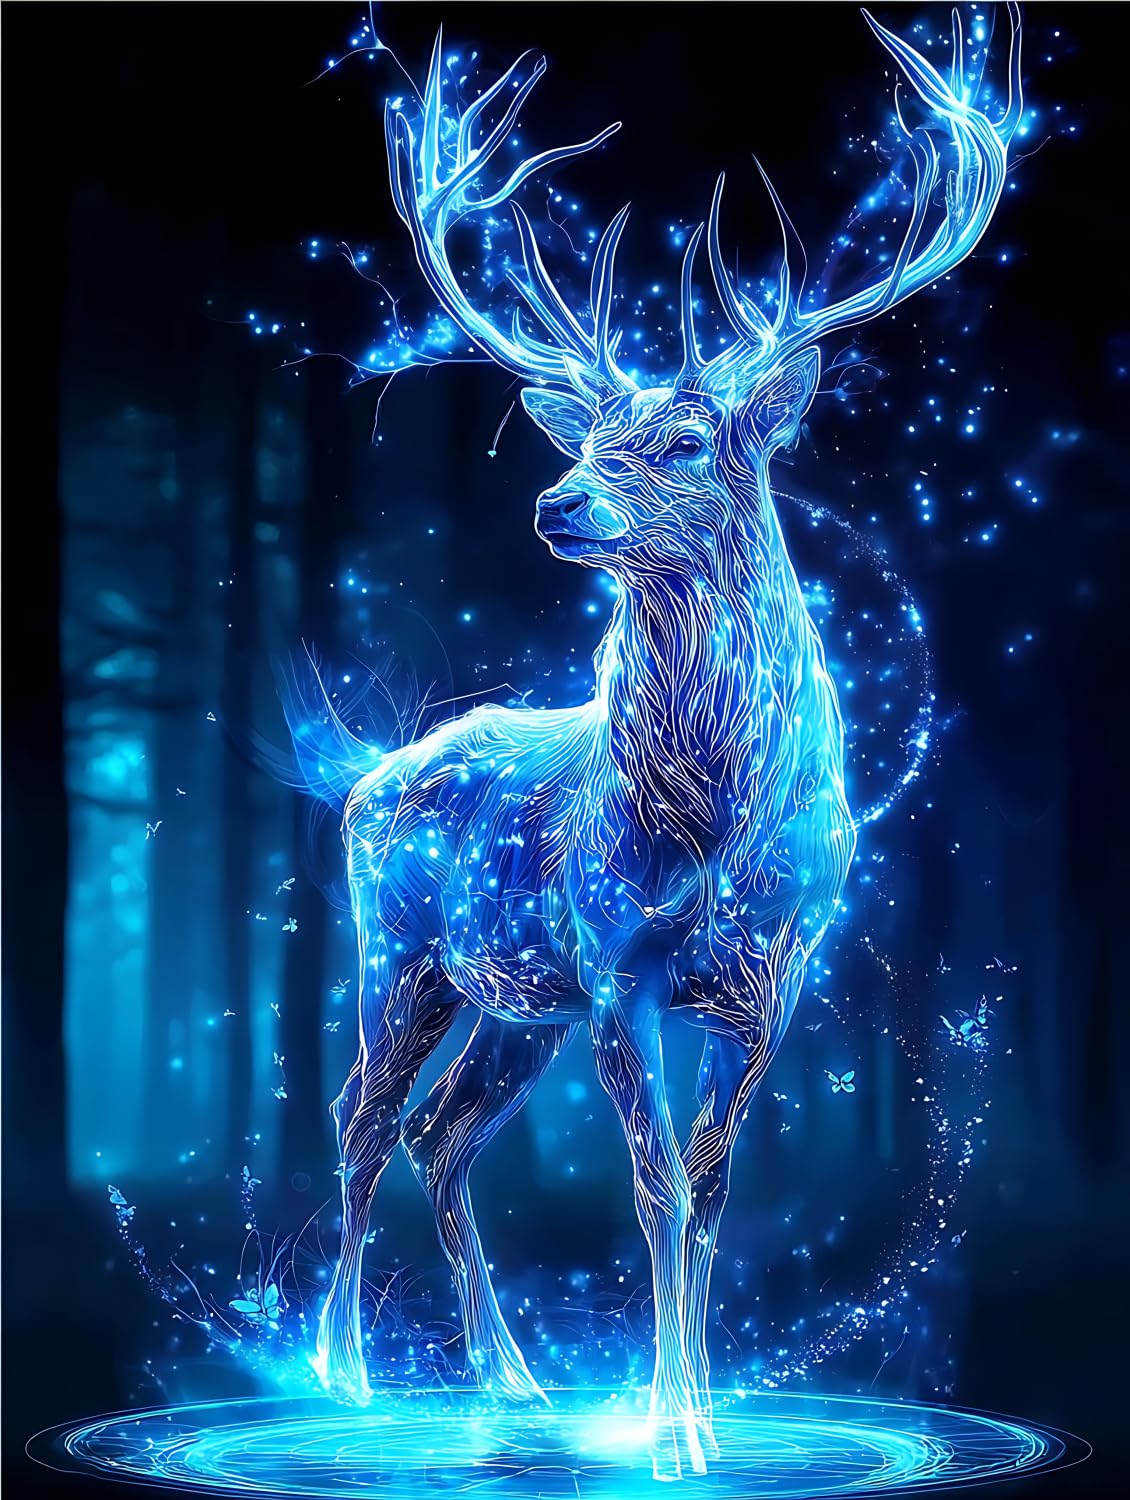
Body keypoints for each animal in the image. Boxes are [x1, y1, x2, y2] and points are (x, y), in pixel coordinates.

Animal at [285, 6, 1022, 1480]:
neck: (713, 823)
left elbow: (711, 1183)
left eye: (686, 439)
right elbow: (651, 1183)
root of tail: (364, 775)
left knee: (438, 1135)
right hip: (398, 940)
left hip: (520, 997)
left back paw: (513, 1383)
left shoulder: (774, 979)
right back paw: (342, 1373)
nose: (556, 501)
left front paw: (691, 1419)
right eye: (596, 435)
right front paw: (674, 1429)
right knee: (355, 1117)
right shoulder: (619, 957)